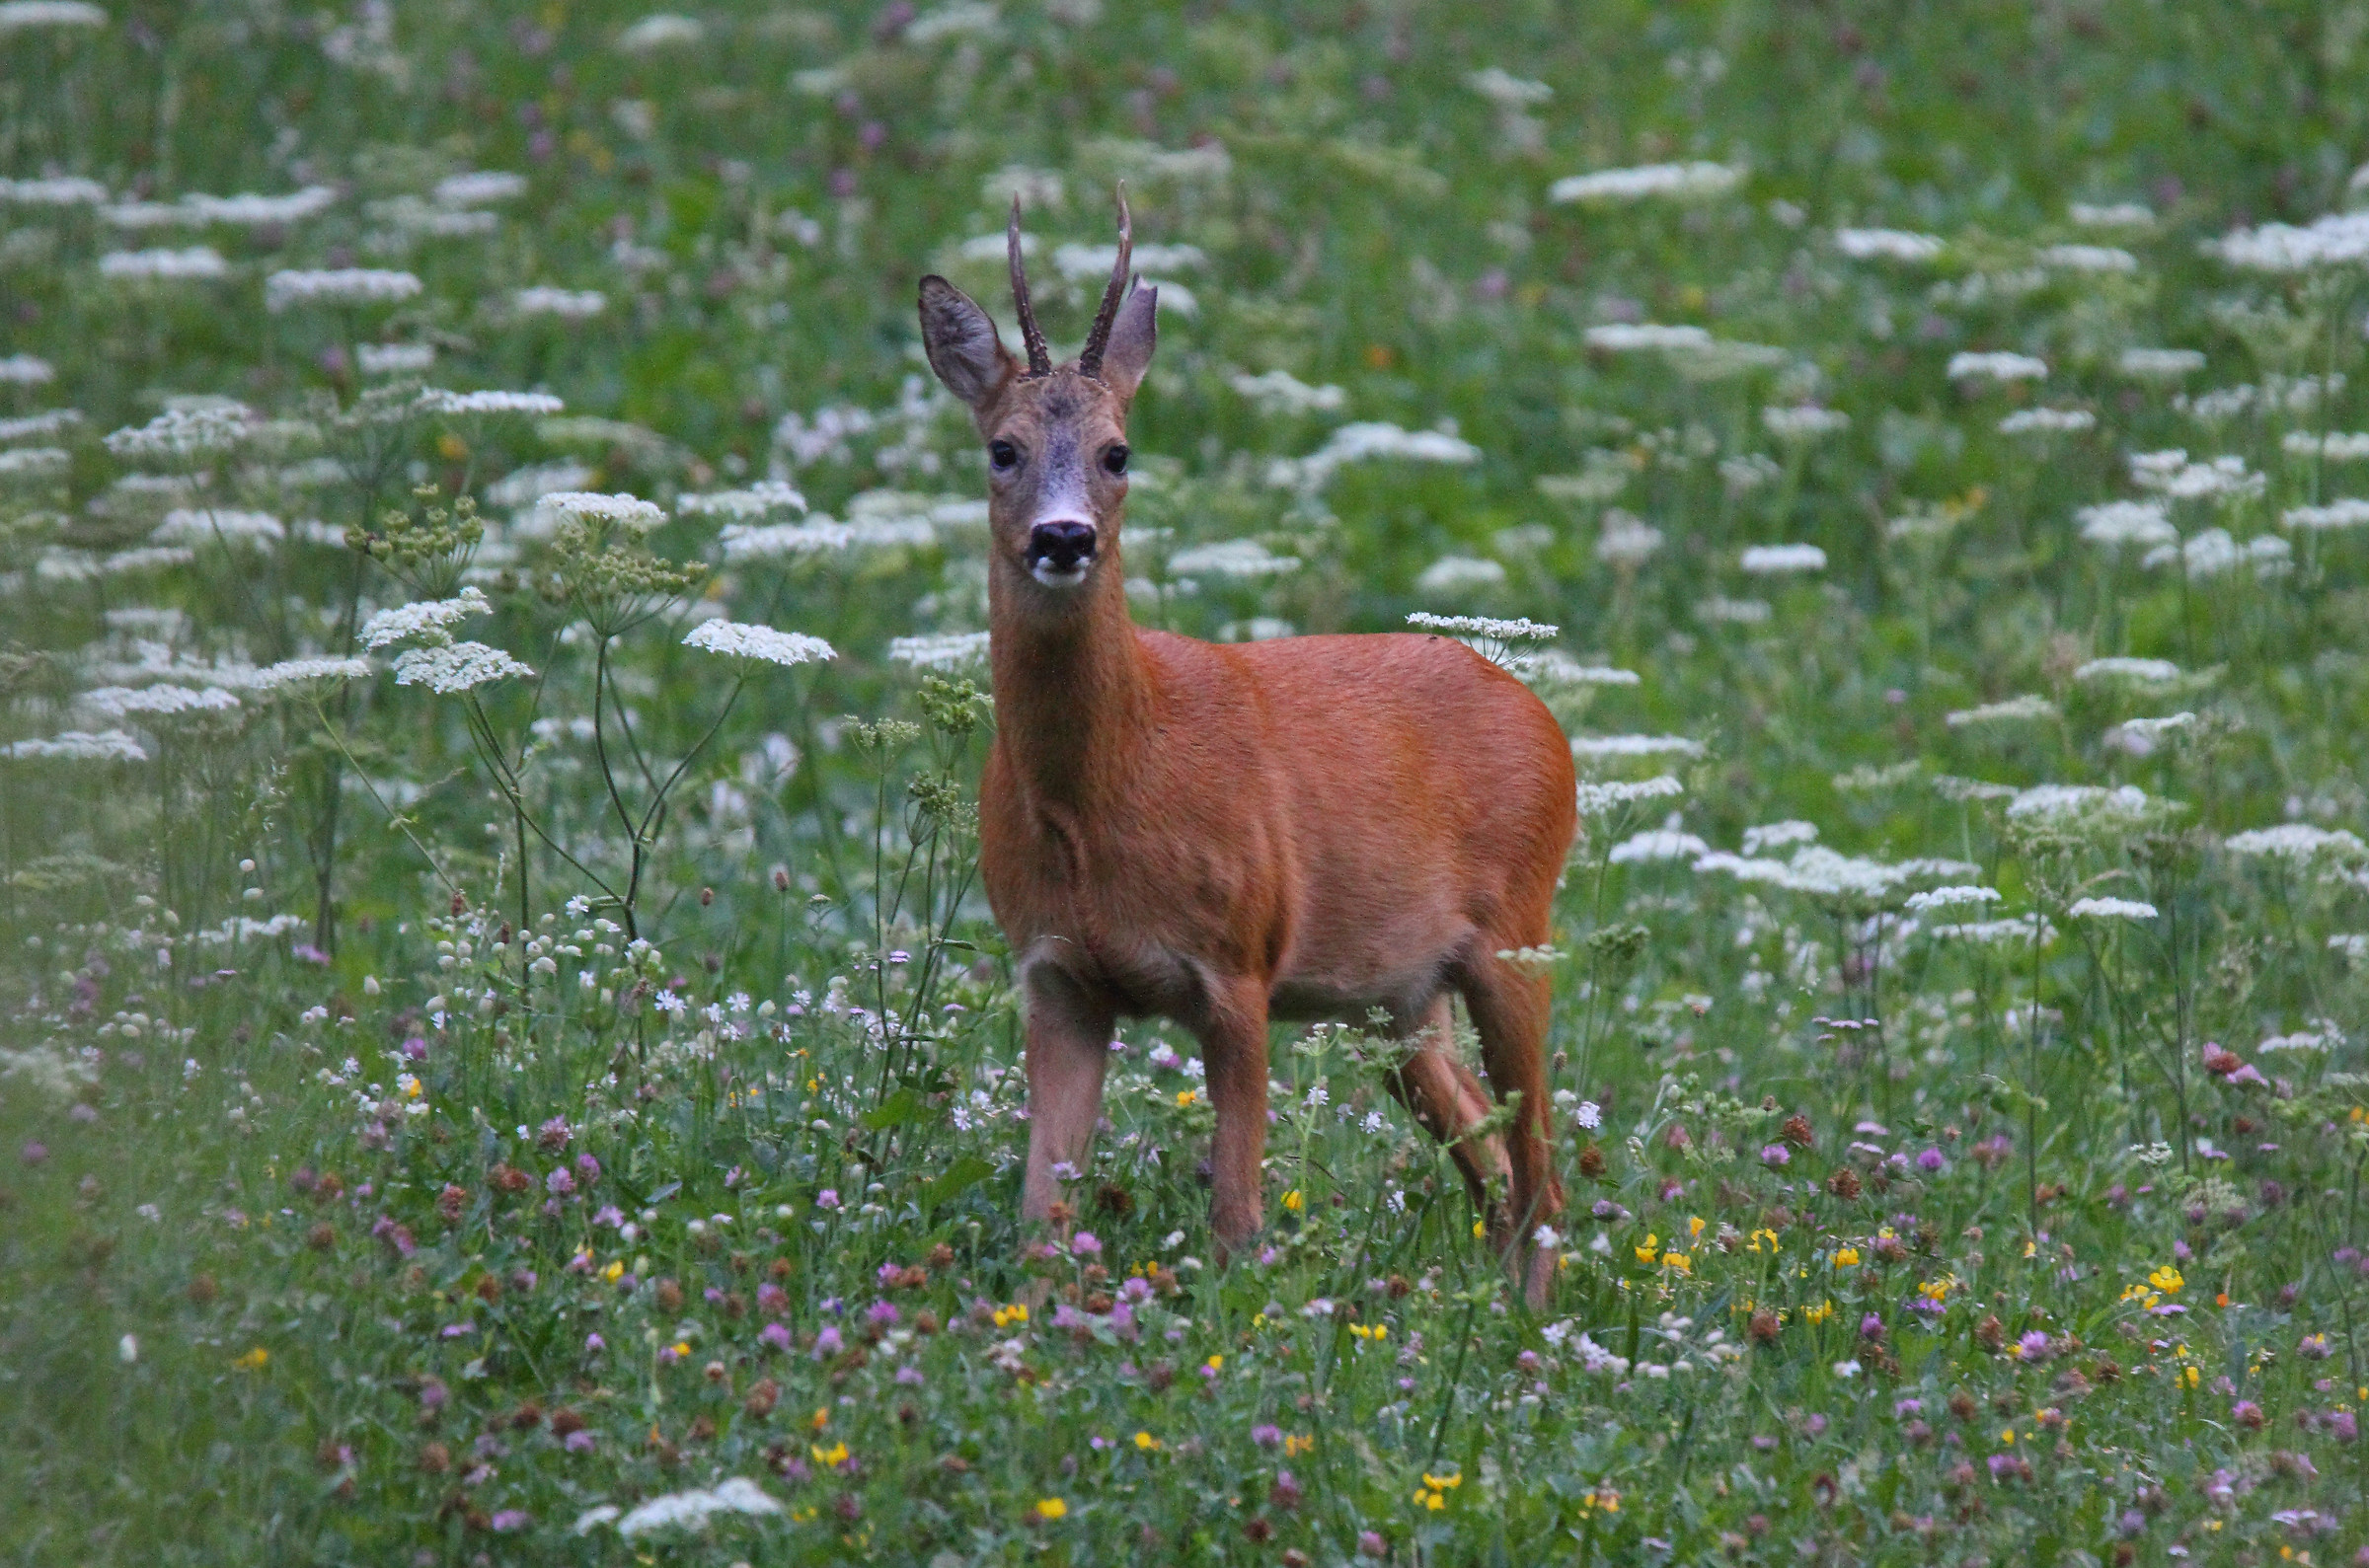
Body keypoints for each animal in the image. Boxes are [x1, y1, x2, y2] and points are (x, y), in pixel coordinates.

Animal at [915, 192, 1579, 1307]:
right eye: (1001, 448)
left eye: (1119, 451)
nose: (1063, 538)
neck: (1102, 792)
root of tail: (1548, 723)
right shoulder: (1054, 971)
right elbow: (1041, 1214)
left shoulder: (1241, 962)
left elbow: (1236, 1217)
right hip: (1403, 999)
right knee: (1491, 1164)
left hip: (1515, 935)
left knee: (1541, 1171)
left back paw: (1534, 1333)